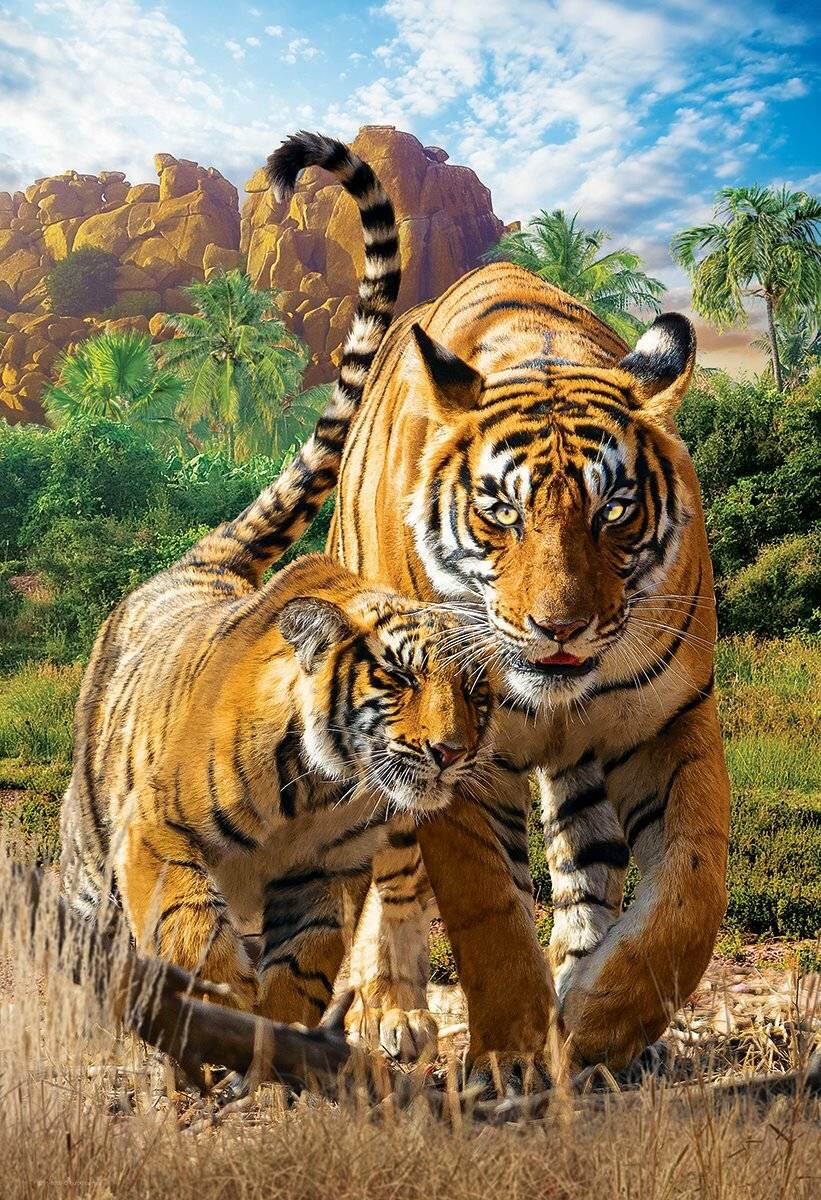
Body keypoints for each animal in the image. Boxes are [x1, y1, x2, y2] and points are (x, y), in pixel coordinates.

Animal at [59, 132, 496, 1029]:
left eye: (477, 693)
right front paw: (215, 1009)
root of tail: (197, 564)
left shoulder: (325, 877)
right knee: (93, 921)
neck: (324, 792)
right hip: (89, 841)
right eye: (398, 677)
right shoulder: (155, 835)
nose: (449, 753)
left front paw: (275, 1031)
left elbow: (303, 966)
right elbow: (192, 930)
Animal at [299, 155, 729, 1072]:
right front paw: (513, 1057)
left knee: (585, 865)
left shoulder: (671, 719)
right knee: (390, 878)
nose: (558, 628)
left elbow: (689, 891)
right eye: (501, 510)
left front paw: (598, 1022)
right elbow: (487, 910)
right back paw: (390, 1013)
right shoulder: (450, 755)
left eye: (614, 511)